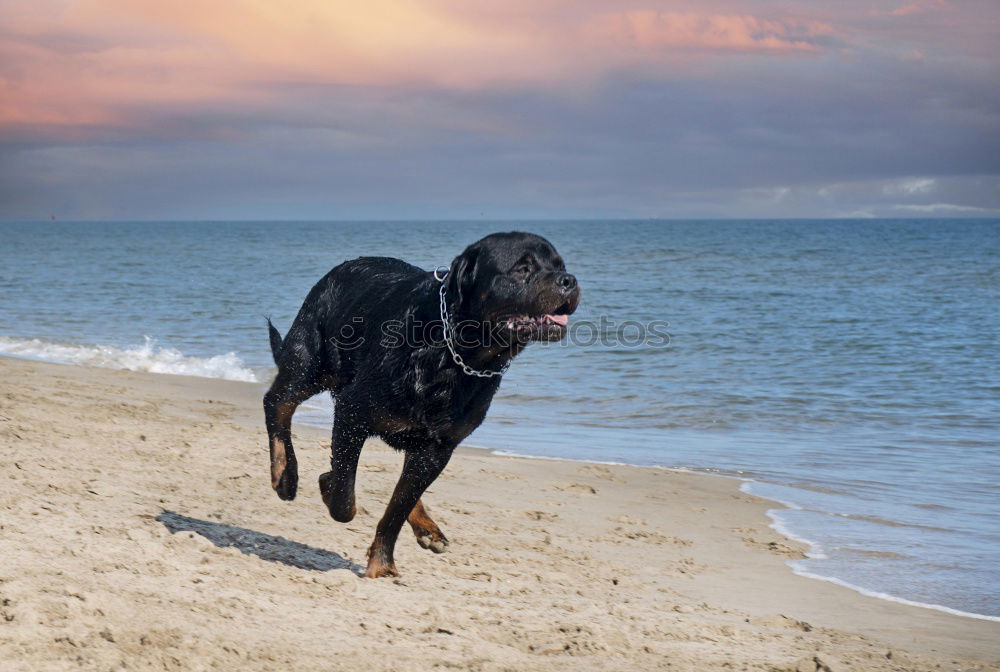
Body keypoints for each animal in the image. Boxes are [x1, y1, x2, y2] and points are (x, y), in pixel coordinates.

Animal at [262, 232, 584, 576]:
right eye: (523, 268)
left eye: (560, 266)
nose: (569, 280)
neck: (454, 355)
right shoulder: (352, 413)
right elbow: (343, 496)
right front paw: (327, 484)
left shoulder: (439, 447)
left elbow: (397, 507)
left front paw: (383, 564)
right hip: (311, 362)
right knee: (277, 403)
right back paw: (284, 472)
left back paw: (428, 528)